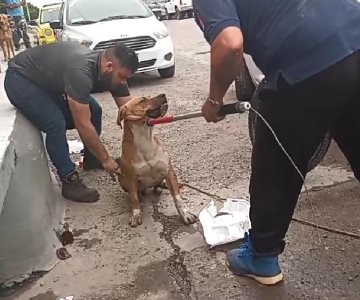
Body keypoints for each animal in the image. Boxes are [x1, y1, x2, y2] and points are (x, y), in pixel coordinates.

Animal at [116, 94, 198, 227]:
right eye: (143, 100)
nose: (163, 94)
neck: (145, 138)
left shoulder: (168, 171)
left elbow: (177, 198)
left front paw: (185, 214)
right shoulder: (130, 179)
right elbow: (134, 199)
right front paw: (136, 214)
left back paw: (161, 186)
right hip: (121, 178)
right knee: (135, 193)